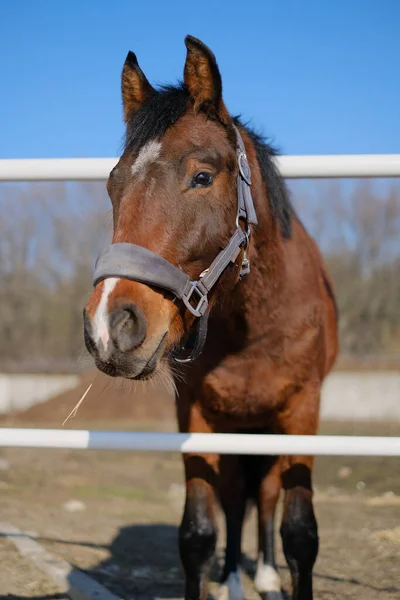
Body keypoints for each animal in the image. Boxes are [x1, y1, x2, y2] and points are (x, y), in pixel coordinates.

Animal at [83, 36, 338, 600]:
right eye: (113, 184)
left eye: (201, 177)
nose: (112, 326)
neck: (255, 327)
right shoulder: (196, 414)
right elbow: (199, 532)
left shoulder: (302, 412)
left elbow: (300, 532)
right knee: (239, 497)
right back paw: (237, 579)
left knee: (264, 495)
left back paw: (264, 576)